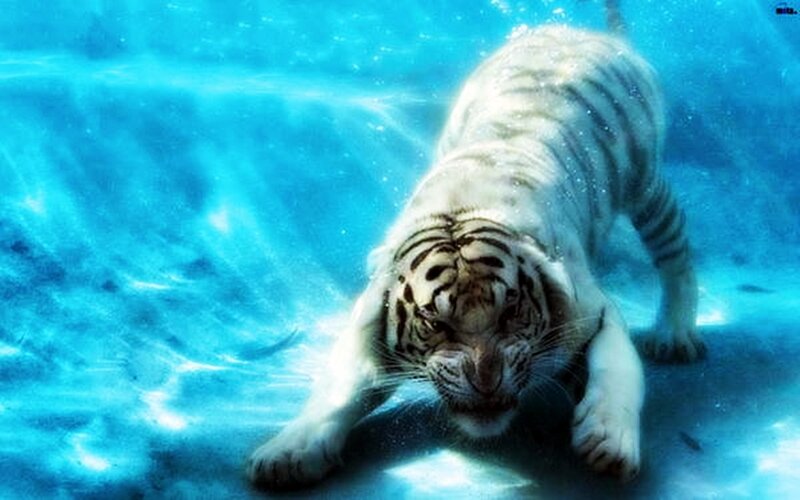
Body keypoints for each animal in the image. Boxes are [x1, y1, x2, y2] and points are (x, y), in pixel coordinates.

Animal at [247, 21, 704, 488]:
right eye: (436, 323)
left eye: (511, 312)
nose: (487, 382)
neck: (461, 205)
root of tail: (580, 31)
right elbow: (336, 391)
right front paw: (289, 452)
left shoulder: (594, 312)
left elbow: (616, 371)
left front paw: (608, 441)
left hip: (646, 186)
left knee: (676, 253)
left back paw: (674, 335)